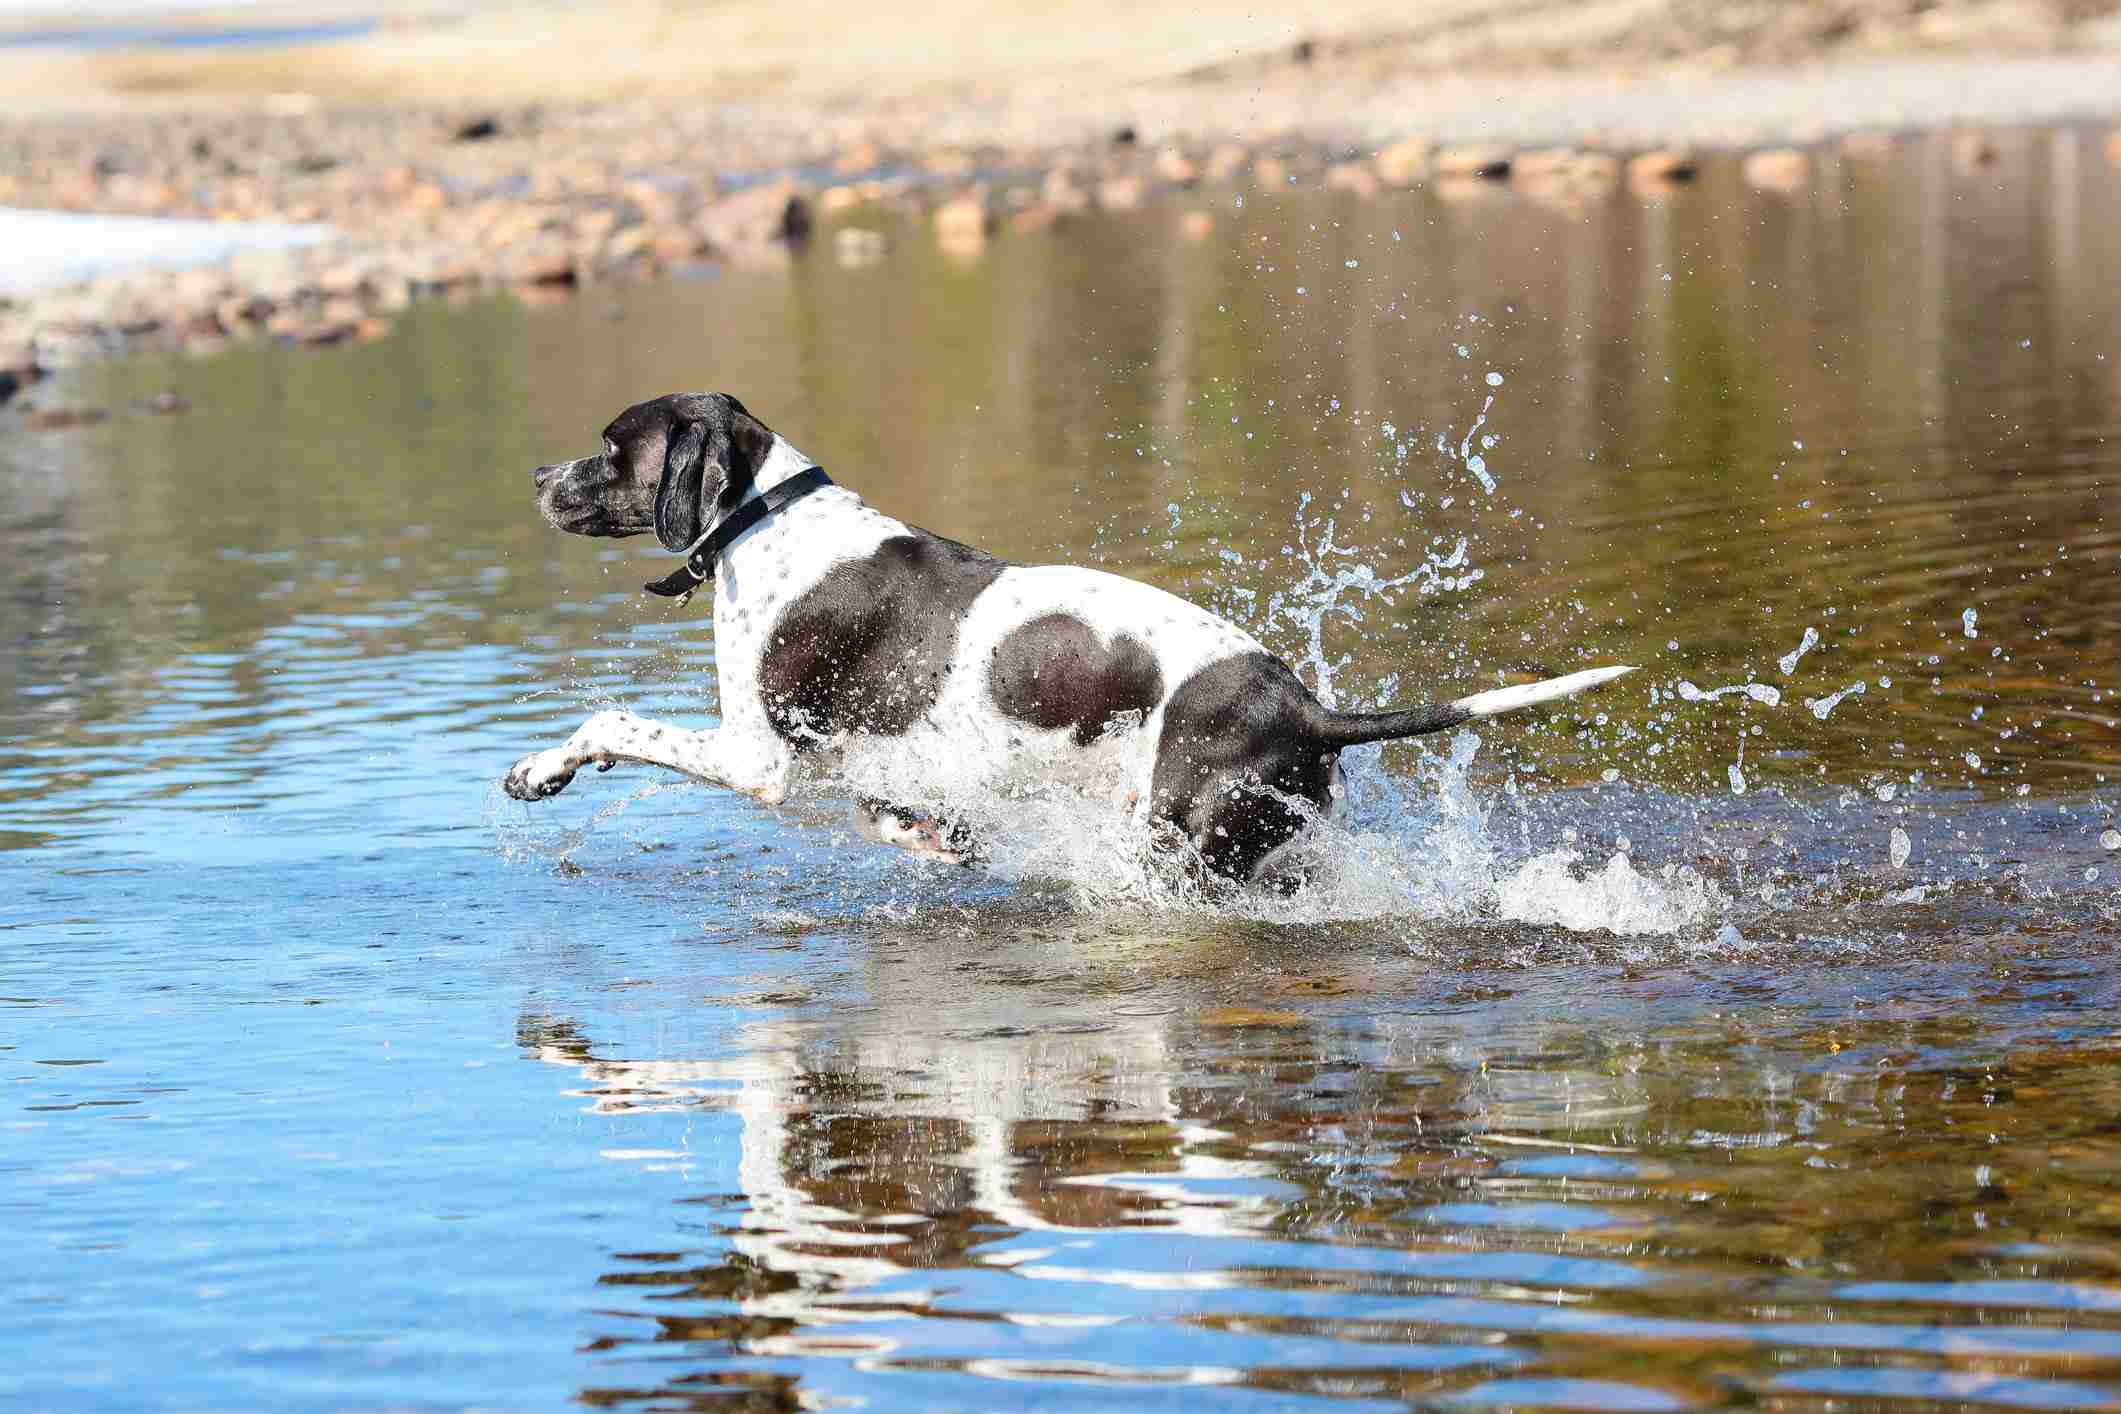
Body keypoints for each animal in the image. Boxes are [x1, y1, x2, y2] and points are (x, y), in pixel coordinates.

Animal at [504, 392, 1628, 890]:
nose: (536, 478)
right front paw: (931, 838)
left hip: (1182, 857)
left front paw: (538, 769)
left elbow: (608, 720)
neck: (766, 518)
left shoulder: (756, 756)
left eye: (610, 449)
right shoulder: (865, 762)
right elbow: (891, 812)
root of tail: (1303, 705)